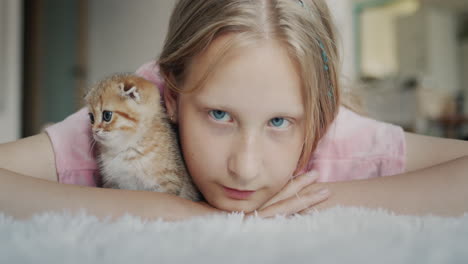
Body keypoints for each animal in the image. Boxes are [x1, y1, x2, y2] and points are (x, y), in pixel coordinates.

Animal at [84, 73, 201, 201]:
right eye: (91, 118)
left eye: (107, 115)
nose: (94, 131)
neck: (125, 149)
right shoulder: (112, 183)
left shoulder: (166, 184)